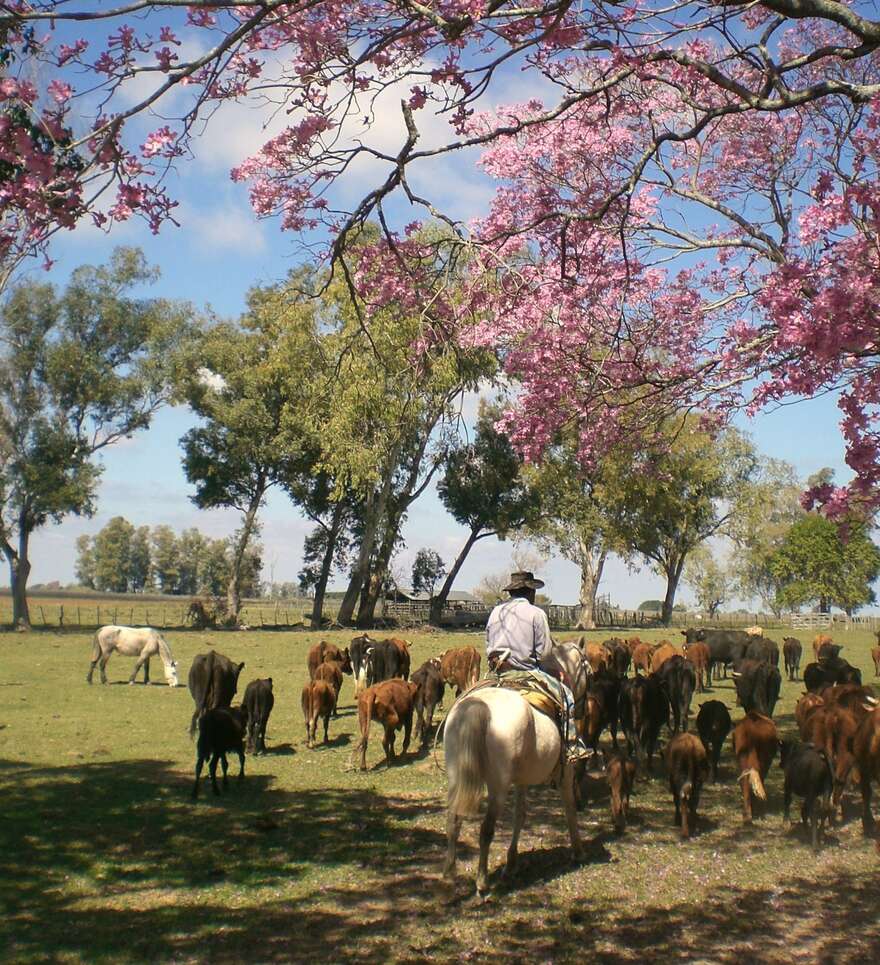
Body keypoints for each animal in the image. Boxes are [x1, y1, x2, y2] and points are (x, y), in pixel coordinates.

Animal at [444, 640, 588, 896]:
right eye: (585, 664)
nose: (581, 708)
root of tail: (478, 706)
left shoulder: (522, 779)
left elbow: (520, 815)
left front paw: (511, 863)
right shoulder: (565, 772)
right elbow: (569, 807)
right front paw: (578, 851)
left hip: (456, 776)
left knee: (454, 821)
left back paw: (451, 874)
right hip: (498, 786)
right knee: (486, 829)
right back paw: (482, 882)